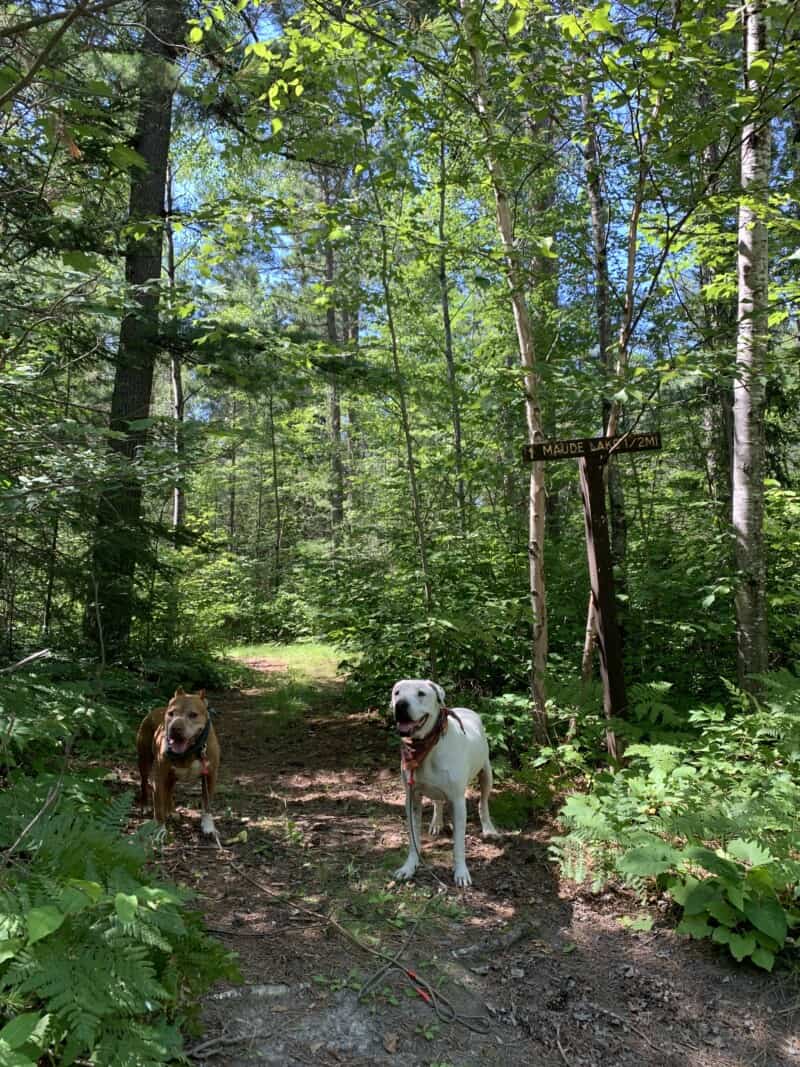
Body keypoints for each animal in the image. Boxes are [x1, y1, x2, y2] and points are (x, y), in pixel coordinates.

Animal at [137, 687, 219, 836]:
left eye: (193, 715)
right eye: (171, 714)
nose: (175, 728)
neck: (191, 750)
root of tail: (155, 710)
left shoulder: (210, 776)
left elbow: (207, 804)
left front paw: (208, 825)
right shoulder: (159, 777)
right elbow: (158, 806)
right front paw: (160, 830)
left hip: (172, 775)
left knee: (169, 790)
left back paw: (171, 811)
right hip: (144, 761)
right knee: (144, 782)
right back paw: (145, 805)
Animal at [392, 678, 499, 887]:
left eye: (421, 693)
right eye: (397, 693)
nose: (400, 705)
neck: (427, 746)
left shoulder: (457, 801)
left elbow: (459, 844)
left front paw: (461, 873)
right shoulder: (411, 797)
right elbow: (413, 837)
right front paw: (409, 866)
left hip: (486, 772)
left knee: (483, 801)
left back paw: (488, 827)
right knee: (437, 800)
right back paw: (436, 822)